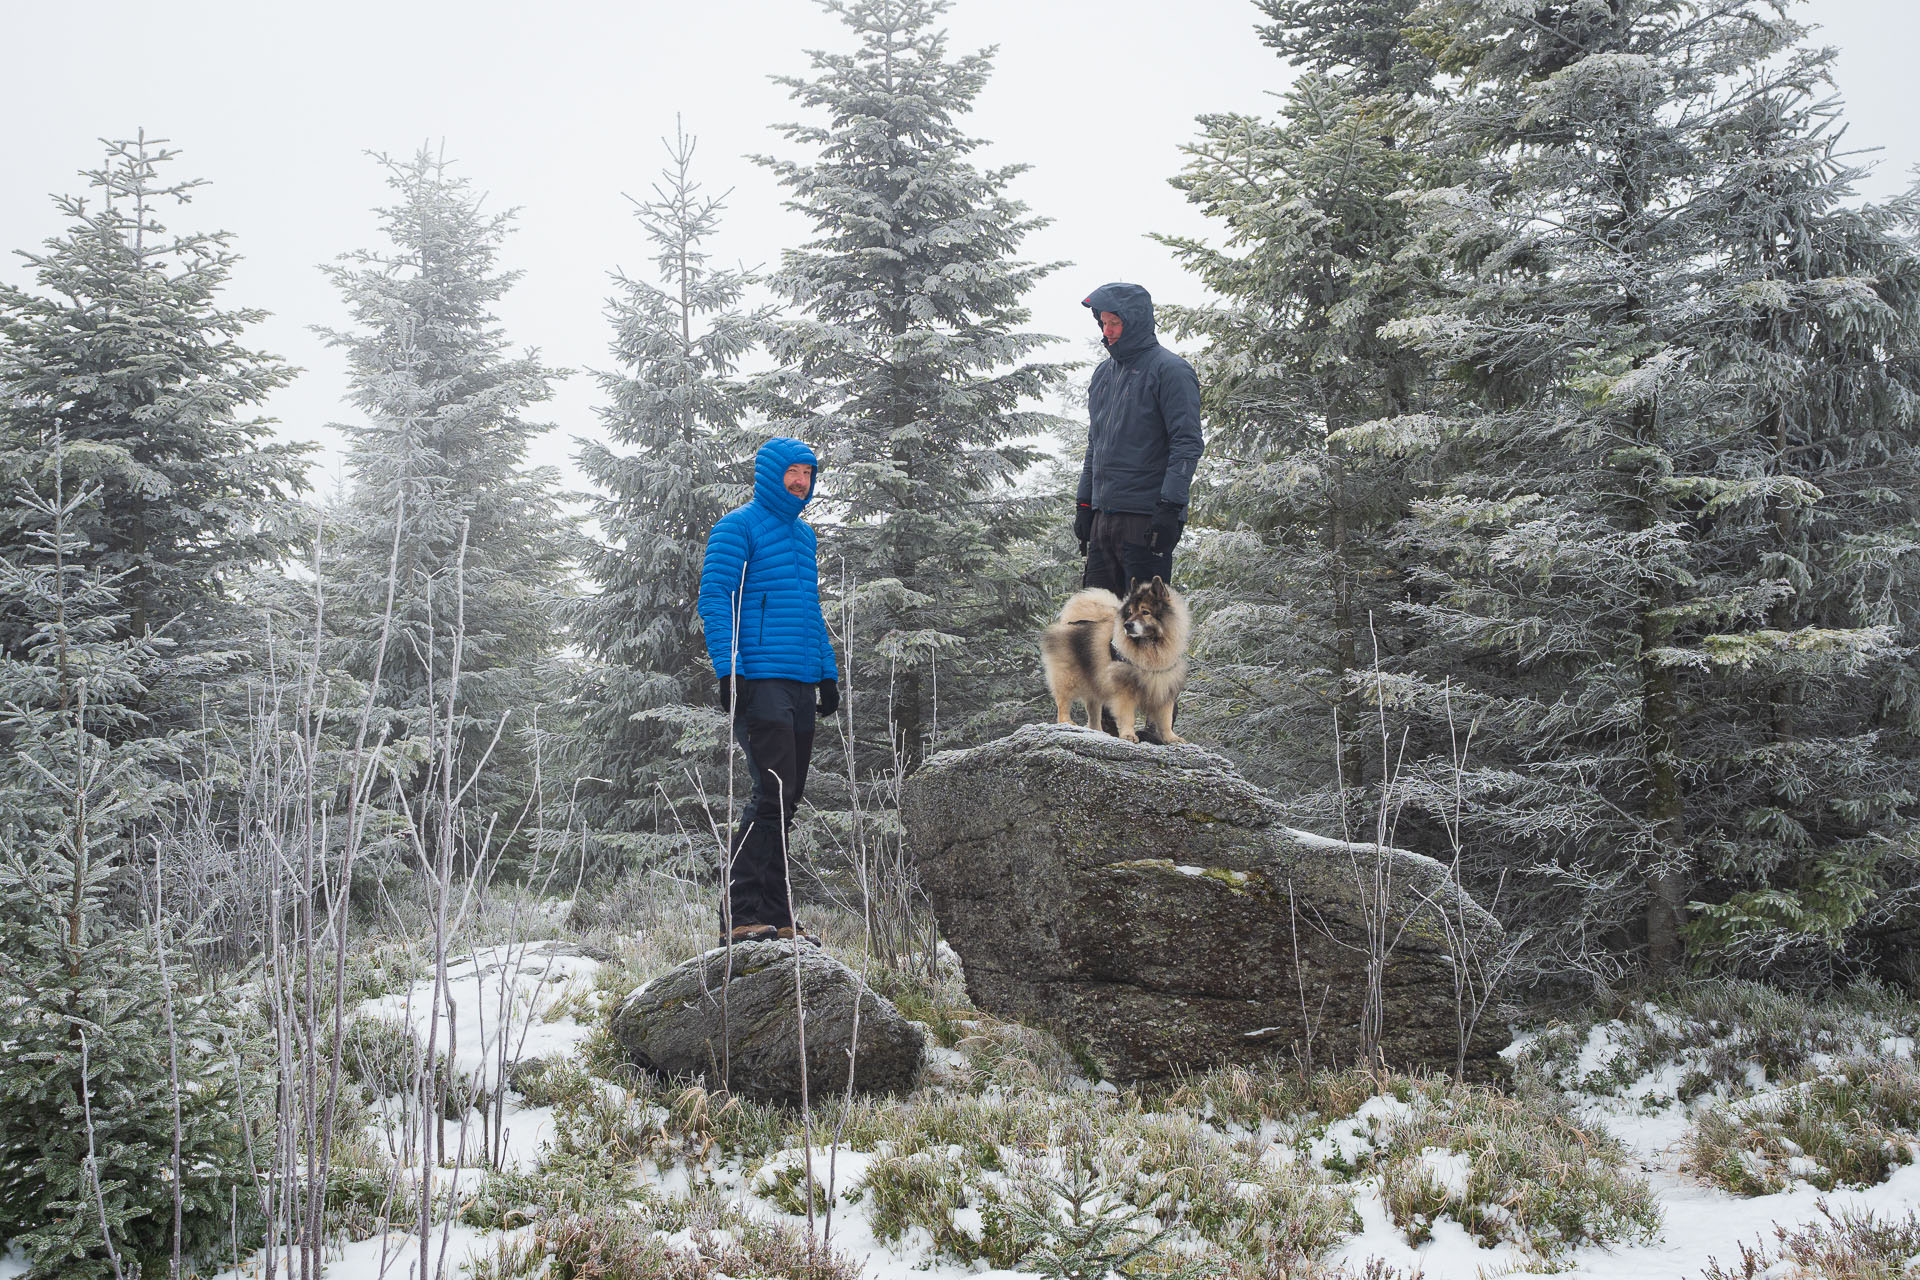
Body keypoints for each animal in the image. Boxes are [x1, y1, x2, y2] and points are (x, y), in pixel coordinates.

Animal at [1036, 579, 1182, 744]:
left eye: (1145, 612)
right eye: (1130, 612)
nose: (1127, 625)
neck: (1150, 647)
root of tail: (1072, 623)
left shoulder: (1164, 686)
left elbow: (1165, 718)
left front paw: (1172, 738)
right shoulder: (1125, 689)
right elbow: (1127, 715)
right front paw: (1128, 735)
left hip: (1094, 681)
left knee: (1093, 712)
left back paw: (1097, 731)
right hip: (1067, 677)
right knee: (1063, 702)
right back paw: (1067, 722)